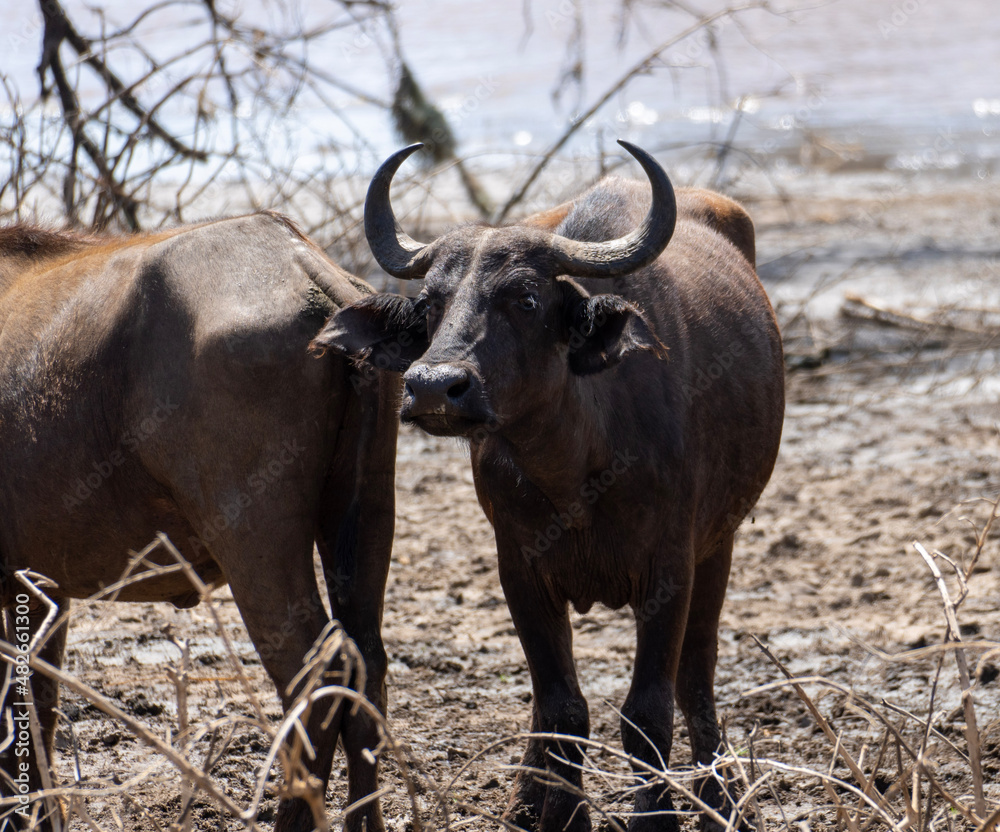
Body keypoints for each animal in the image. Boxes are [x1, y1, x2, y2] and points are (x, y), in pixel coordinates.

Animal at [2, 214, 402, 832]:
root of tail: (302, 263)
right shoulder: (43, 589)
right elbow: (37, 705)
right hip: (365, 514)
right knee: (367, 664)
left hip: (254, 540)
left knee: (314, 671)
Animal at [316, 143, 784, 832]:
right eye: (430, 303)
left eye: (527, 298)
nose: (433, 387)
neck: (575, 469)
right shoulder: (522, 571)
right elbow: (563, 709)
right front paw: (562, 814)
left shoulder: (670, 569)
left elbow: (647, 712)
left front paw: (657, 815)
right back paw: (525, 801)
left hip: (719, 545)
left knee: (697, 678)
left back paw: (720, 799)